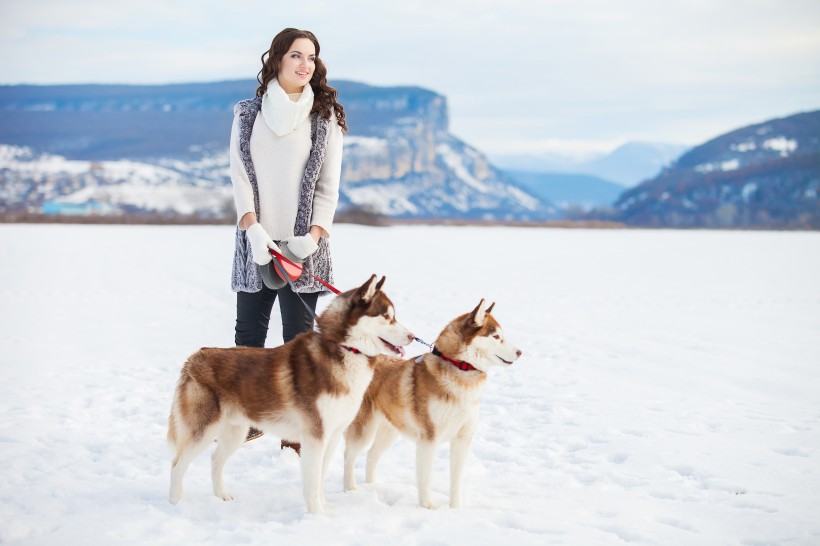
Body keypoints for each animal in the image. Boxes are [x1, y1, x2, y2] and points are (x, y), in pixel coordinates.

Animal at [167, 274, 414, 512]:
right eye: (386, 316)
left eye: (393, 316)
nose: (412, 336)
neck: (345, 350)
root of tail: (194, 357)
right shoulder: (315, 436)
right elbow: (313, 481)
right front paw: (317, 515)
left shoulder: (332, 435)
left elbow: (321, 476)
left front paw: (325, 508)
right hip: (203, 430)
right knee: (177, 464)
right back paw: (176, 504)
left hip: (235, 431)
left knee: (215, 460)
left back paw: (222, 496)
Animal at [342, 298, 524, 506]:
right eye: (496, 336)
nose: (520, 352)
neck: (460, 367)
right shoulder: (429, 438)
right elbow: (426, 477)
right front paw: (427, 506)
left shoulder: (462, 439)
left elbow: (456, 480)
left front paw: (456, 508)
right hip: (363, 430)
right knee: (348, 456)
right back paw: (350, 490)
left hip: (390, 432)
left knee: (372, 454)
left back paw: (372, 486)